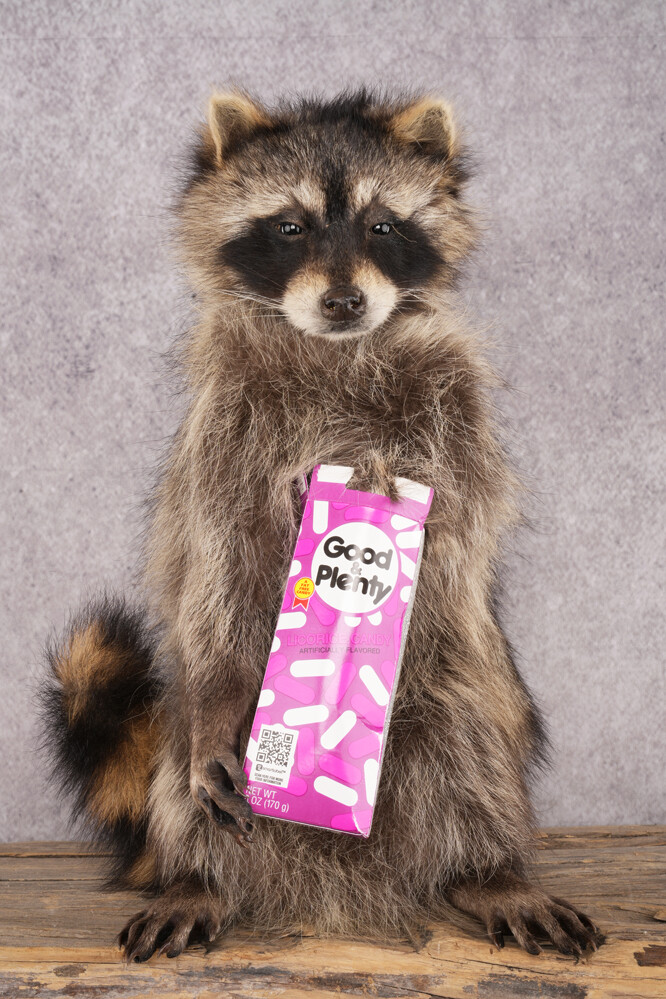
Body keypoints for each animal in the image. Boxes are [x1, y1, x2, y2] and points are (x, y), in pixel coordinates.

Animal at [41, 88, 602, 961]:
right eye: (289, 227)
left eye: (382, 226)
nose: (344, 302)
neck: (338, 348)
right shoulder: (224, 431)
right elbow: (222, 564)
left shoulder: (457, 406)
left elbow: (462, 521)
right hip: (197, 732)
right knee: (188, 762)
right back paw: (199, 877)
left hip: (468, 680)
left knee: (471, 744)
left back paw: (489, 868)